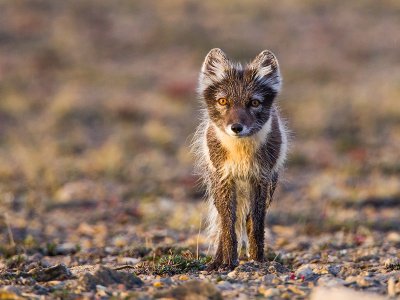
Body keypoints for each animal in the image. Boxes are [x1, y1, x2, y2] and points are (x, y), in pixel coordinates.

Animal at [193, 48, 288, 270]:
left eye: (254, 103)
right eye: (223, 101)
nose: (236, 127)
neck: (241, 154)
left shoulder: (261, 178)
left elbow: (256, 224)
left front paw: (258, 260)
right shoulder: (223, 179)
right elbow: (228, 225)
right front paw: (228, 261)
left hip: (271, 184)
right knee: (225, 221)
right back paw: (217, 260)